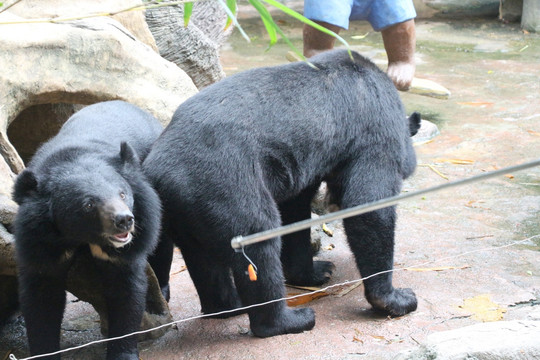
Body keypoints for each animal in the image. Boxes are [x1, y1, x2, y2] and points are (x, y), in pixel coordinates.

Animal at [13, 101, 162, 360]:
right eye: (89, 205)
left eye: (123, 194)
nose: (124, 220)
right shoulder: (39, 241)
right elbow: (42, 298)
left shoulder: (136, 230)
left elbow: (126, 290)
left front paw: (122, 352)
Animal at [144, 50, 422, 338]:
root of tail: (158, 171)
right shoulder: (373, 126)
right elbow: (369, 204)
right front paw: (397, 298)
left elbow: (295, 212)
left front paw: (318, 270)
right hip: (222, 183)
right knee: (257, 241)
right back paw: (289, 319)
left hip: (184, 213)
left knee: (204, 262)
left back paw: (228, 306)